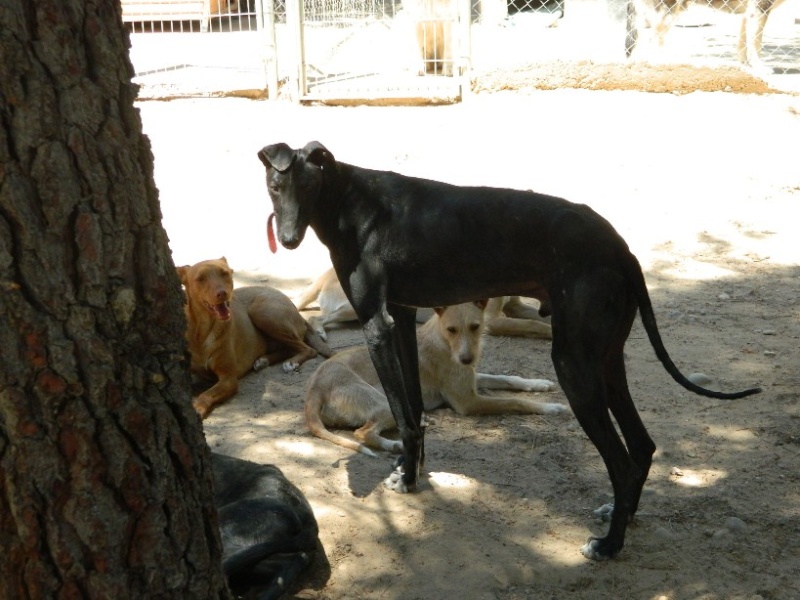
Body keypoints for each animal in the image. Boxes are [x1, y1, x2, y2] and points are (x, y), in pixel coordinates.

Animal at [178, 256, 332, 418]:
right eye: (200, 278)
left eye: (225, 273)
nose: (222, 293)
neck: (204, 329)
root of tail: (296, 310)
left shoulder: (229, 379)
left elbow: (207, 393)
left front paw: (198, 407)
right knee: (290, 348)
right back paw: (264, 360)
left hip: (262, 312)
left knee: (308, 349)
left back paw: (291, 362)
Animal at [296, 268, 552, 342]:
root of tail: (325, 274)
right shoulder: (492, 320)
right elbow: (532, 325)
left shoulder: (515, 308)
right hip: (358, 308)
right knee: (316, 317)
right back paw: (319, 332)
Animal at [302, 300, 568, 454]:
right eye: (452, 329)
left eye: (475, 327)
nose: (466, 358)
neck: (443, 340)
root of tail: (313, 388)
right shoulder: (468, 403)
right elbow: (516, 401)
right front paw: (553, 408)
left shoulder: (471, 380)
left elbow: (508, 378)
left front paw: (540, 384)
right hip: (384, 402)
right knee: (362, 433)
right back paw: (396, 445)